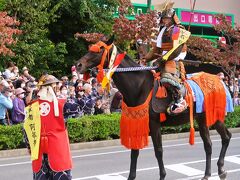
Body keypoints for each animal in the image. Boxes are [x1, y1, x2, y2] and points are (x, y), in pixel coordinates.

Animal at [76, 37, 232, 180]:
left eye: (99, 50)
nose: (78, 65)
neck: (139, 86)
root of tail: (220, 81)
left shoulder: (154, 123)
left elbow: (158, 151)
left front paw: (162, 175)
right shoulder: (138, 122)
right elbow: (134, 151)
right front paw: (131, 176)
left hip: (209, 117)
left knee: (214, 142)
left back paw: (210, 173)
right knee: (221, 139)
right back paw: (220, 170)